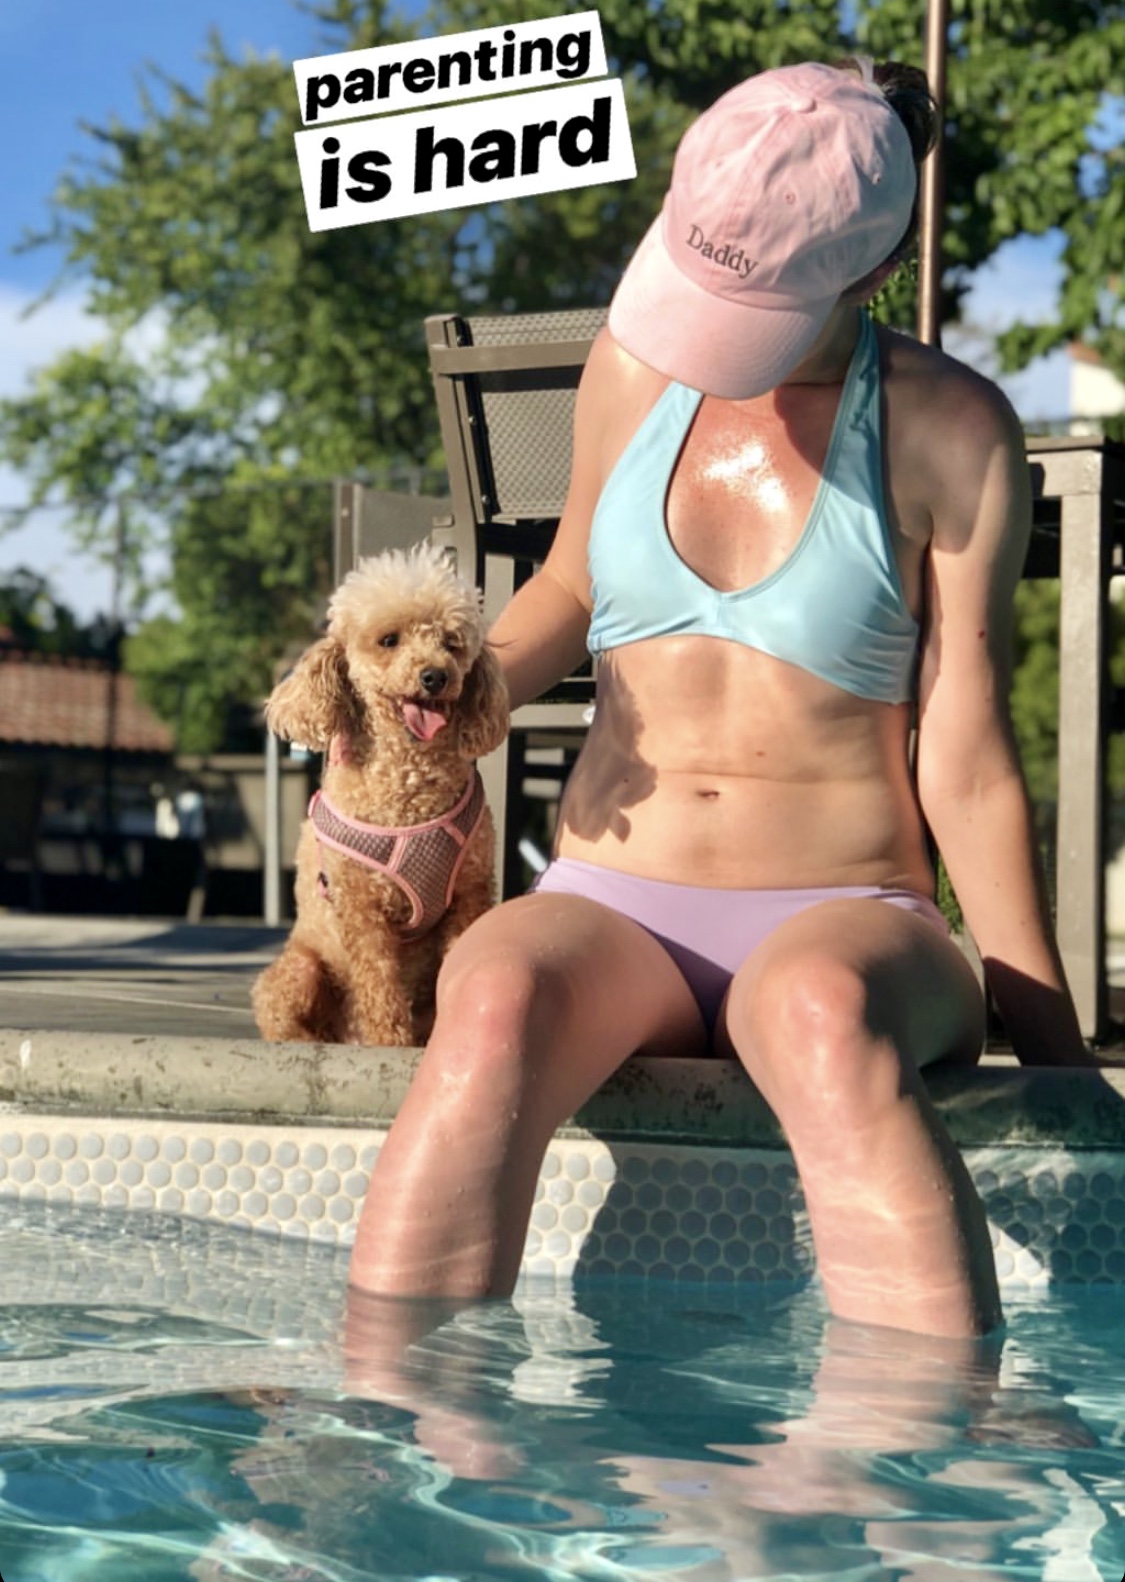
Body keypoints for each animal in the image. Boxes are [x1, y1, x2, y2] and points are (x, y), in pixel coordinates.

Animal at [254, 544, 509, 1050]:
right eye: (389, 640)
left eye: (452, 642)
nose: (435, 676)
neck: (408, 789)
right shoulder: (361, 908)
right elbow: (378, 984)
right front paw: (389, 1042)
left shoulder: (468, 892)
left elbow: (457, 959)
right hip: (299, 972)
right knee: (286, 1018)